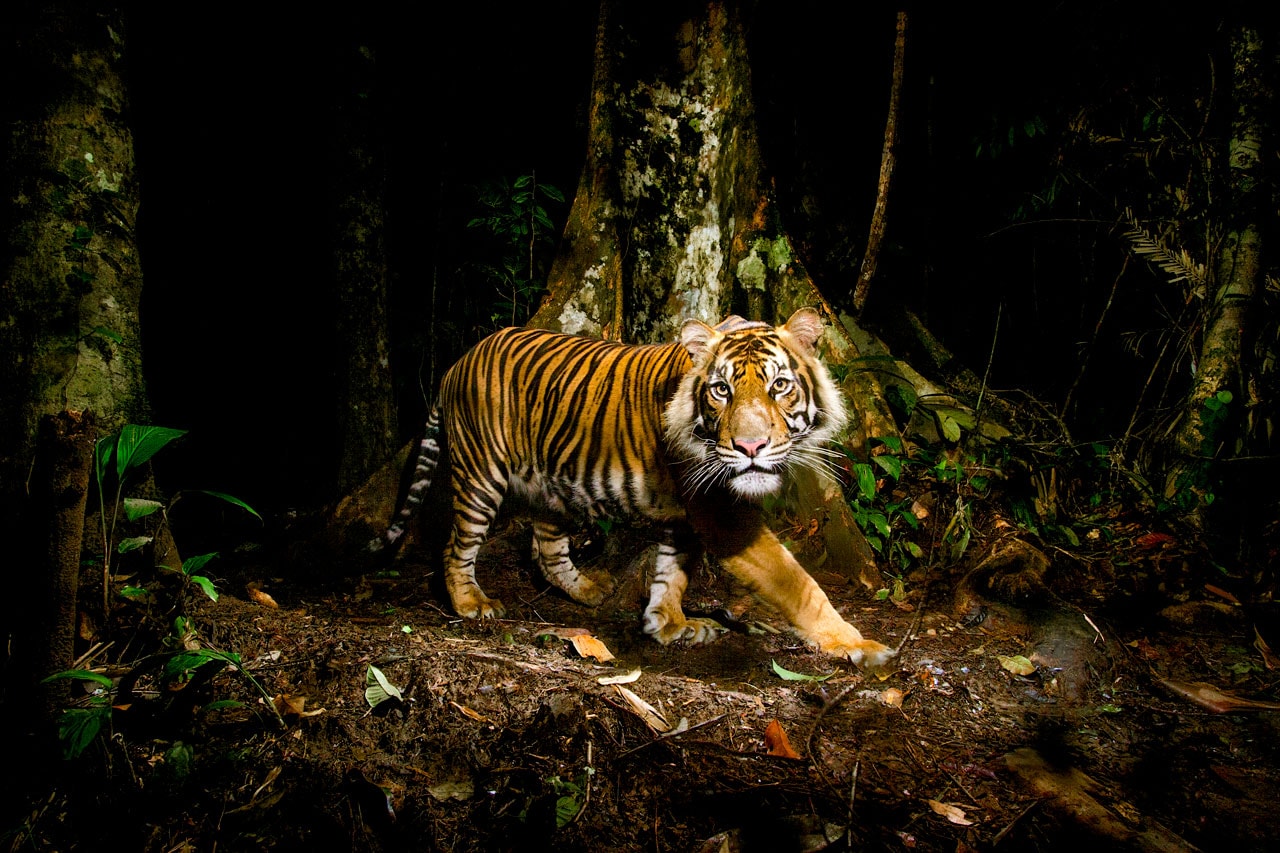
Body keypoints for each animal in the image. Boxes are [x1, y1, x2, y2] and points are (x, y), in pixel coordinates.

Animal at [369, 308, 894, 666]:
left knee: (547, 546)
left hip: (554, 485)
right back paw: (472, 604)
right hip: (481, 475)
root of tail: (456, 363)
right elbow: (798, 584)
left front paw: (669, 625)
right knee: (457, 545)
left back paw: (589, 590)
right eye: (721, 390)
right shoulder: (720, 512)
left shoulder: (689, 512)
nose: (750, 446)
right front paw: (857, 644)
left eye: (779, 385)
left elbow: (671, 573)